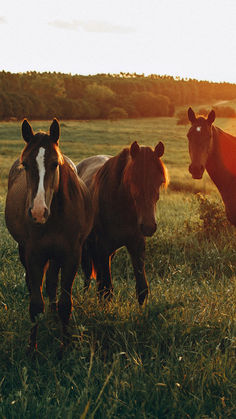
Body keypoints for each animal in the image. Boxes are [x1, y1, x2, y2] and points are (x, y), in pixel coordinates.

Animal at [4, 118, 93, 352]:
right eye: (25, 164)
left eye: (55, 164)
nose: (37, 212)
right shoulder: (34, 254)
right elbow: (35, 305)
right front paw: (32, 350)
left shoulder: (71, 256)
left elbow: (65, 303)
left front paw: (64, 347)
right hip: (26, 251)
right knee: (34, 283)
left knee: (52, 283)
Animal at [77, 141, 168, 306]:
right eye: (133, 180)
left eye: (160, 181)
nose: (148, 226)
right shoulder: (102, 247)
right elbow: (106, 290)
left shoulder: (136, 245)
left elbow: (142, 288)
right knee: (87, 274)